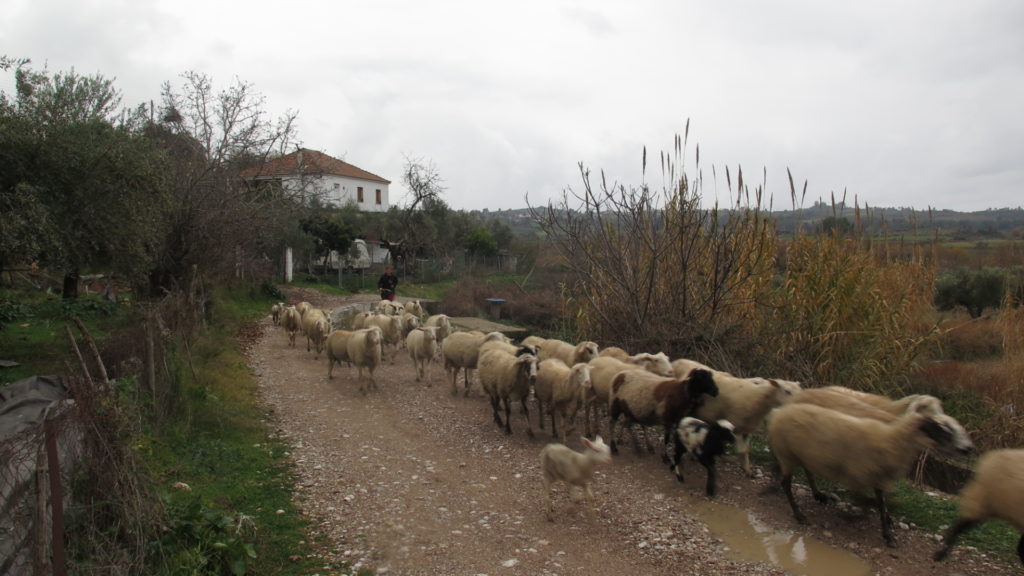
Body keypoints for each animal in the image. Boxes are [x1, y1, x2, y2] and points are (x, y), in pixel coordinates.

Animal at [770, 397, 974, 545]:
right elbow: (867, 503)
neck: (892, 439)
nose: (968, 449)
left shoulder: (877, 478)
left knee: (806, 471)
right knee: (786, 483)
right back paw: (799, 514)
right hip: (787, 454)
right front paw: (853, 516)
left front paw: (888, 534)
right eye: (942, 429)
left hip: (802, 454)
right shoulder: (857, 477)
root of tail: (780, 412)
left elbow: (880, 503)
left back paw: (816, 496)